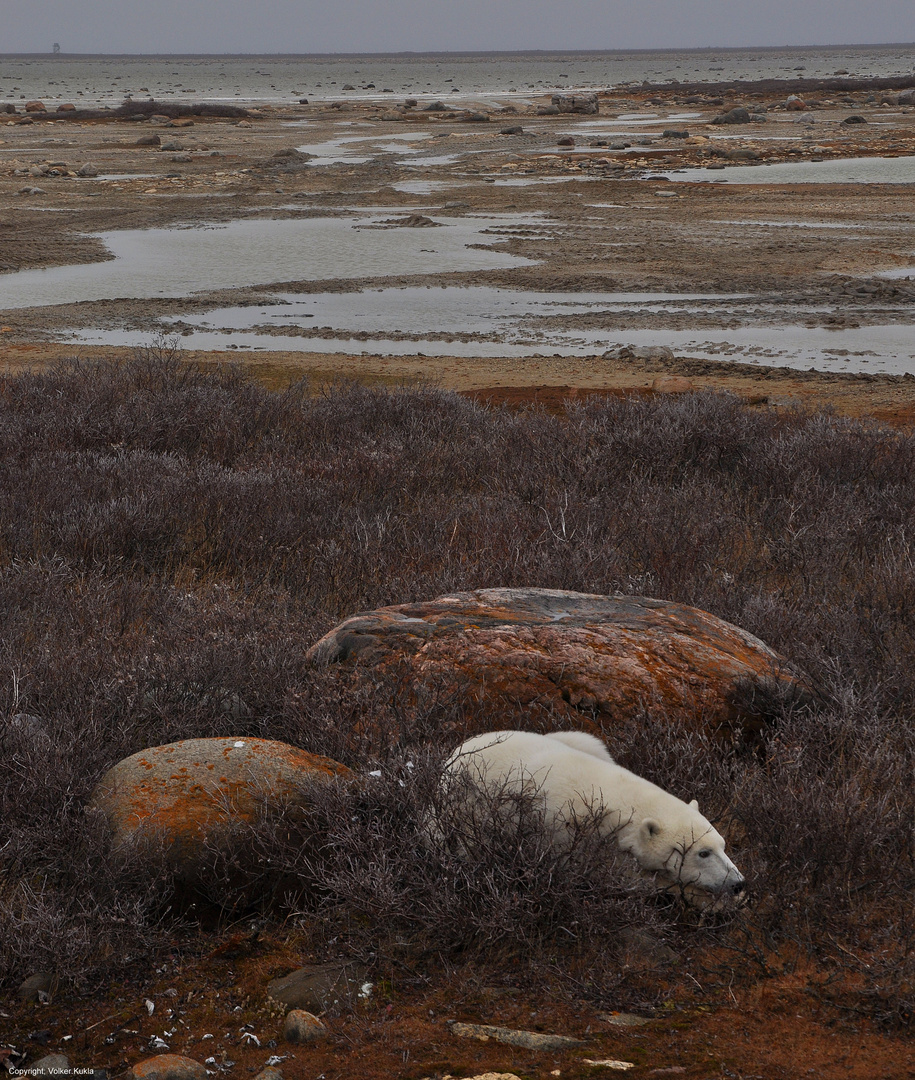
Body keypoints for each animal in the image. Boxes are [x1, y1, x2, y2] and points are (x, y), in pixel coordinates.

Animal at [442, 730, 743, 907]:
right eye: (703, 853)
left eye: (723, 845)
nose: (739, 883)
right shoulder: (568, 838)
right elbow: (628, 879)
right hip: (466, 803)